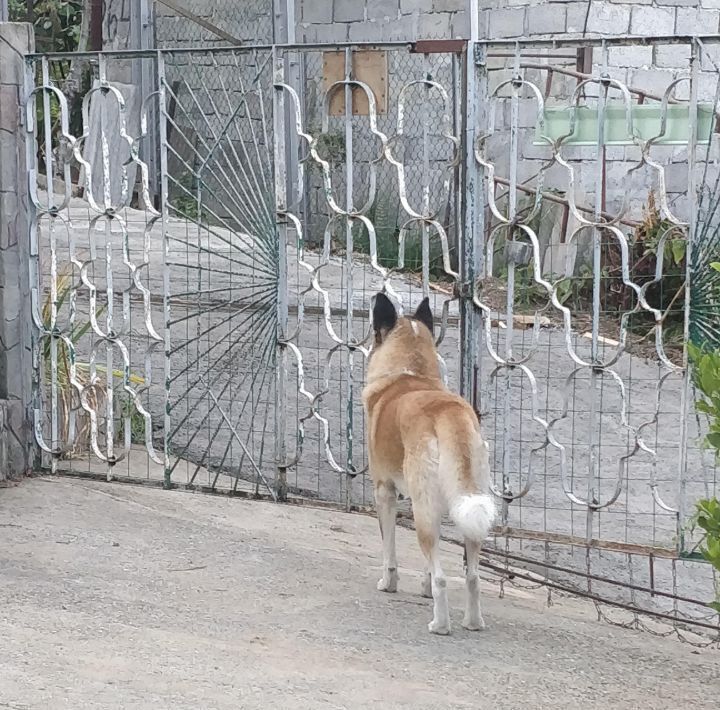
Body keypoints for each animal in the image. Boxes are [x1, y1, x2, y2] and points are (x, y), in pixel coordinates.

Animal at [362, 292, 498, 636]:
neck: (412, 373)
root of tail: (449, 413)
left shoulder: (385, 492)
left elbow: (389, 548)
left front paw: (388, 582)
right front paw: (421, 588)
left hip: (423, 511)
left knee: (442, 577)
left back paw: (440, 624)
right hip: (470, 508)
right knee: (472, 576)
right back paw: (473, 622)